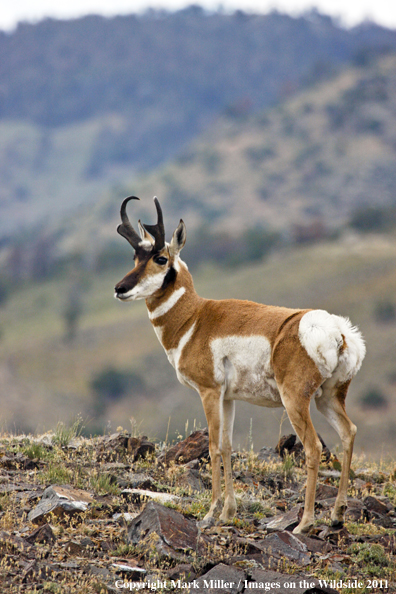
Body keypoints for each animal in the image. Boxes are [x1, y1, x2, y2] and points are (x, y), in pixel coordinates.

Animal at [113, 194, 366, 532]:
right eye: (134, 257)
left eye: (160, 258)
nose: (120, 288)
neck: (194, 318)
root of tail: (337, 330)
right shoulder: (228, 398)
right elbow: (228, 446)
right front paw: (227, 512)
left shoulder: (208, 392)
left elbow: (212, 446)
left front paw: (210, 513)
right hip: (328, 398)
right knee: (348, 432)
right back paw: (337, 514)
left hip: (295, 400)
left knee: (313, 447)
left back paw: (305, 523)